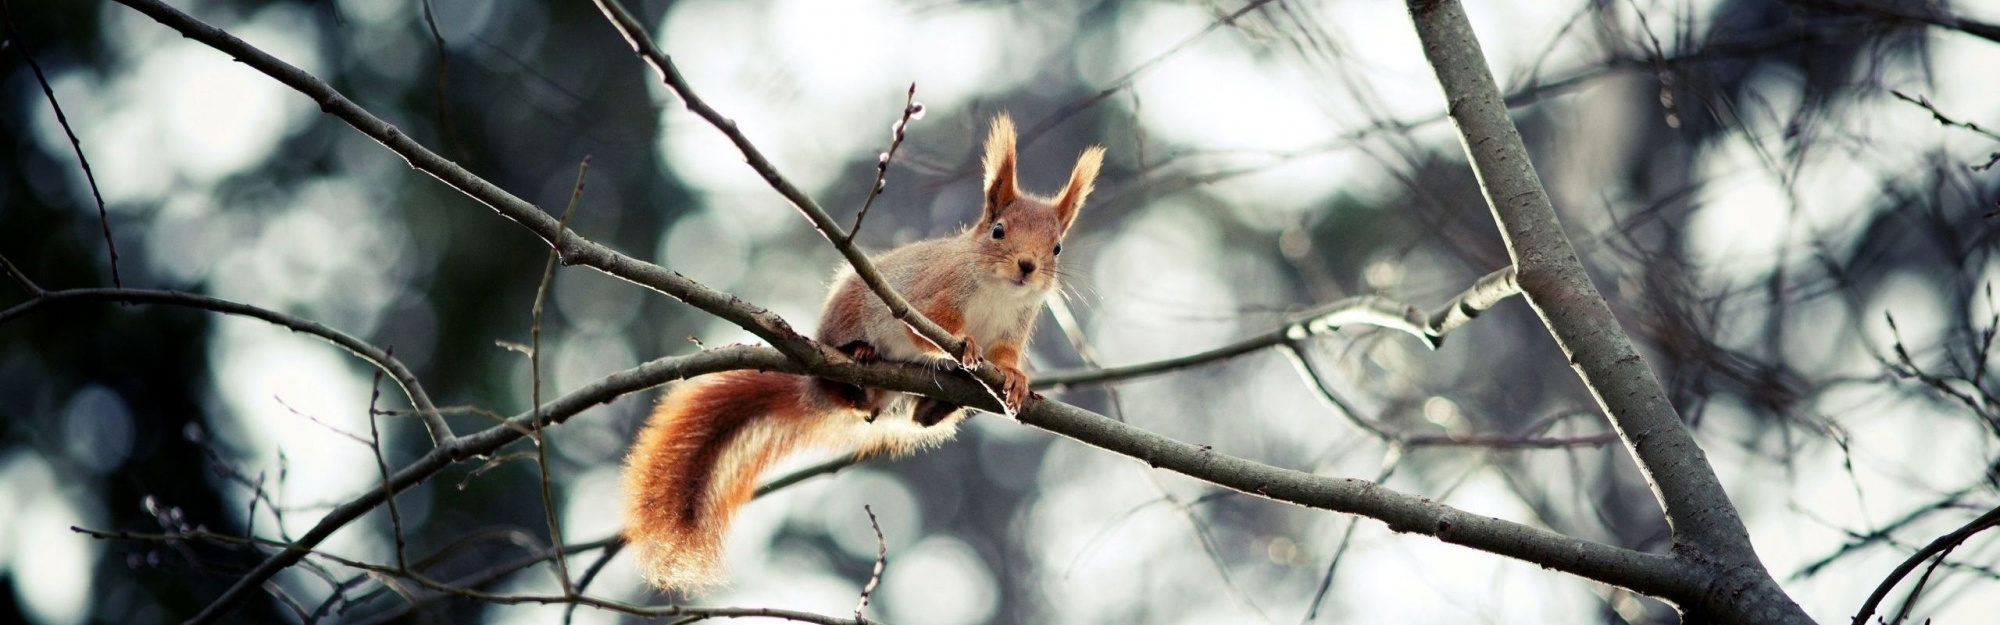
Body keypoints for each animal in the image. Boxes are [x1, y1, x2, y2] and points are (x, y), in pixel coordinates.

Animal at [616, 113, 1104, 588]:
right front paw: (962, 344)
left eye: (1057, 246)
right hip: (844, 323)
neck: (999, 291)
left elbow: (1004, 358)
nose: (1027, 266)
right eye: (999, 231)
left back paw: (933, 406)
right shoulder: (927, 298)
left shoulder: (1012, 330)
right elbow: (928, 330)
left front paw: (1016, 381)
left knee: (912, 418)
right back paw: (861, 357)